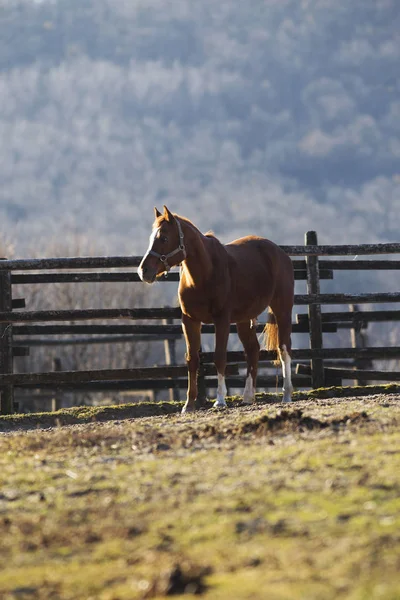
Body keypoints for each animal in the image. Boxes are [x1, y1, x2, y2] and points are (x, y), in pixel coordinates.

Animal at [138, 206, 294, 412]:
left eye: (163, 238)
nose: (144, 271)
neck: (204, 274)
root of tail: (279, 252)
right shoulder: (189, 321)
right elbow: (192, 359)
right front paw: (189, 404)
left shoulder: (221, 320)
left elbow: (219, 357)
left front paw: (220, 400)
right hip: (244, 319)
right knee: (252, 350)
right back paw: (247, 397)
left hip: (282, 309)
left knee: (284, 349)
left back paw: (286, 395)